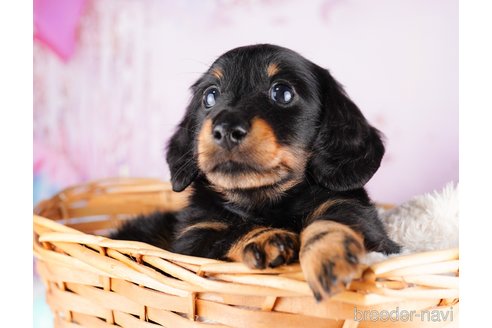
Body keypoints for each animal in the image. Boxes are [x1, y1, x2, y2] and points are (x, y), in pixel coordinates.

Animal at [113, 44, 402, 302]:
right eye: (210, 96)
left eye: (282, 93)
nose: (225, 129)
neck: (263, 201)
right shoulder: (192, 240)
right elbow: (231, 233)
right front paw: (264, 238)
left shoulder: (359, 217)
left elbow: (333, 220)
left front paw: (331, 256)